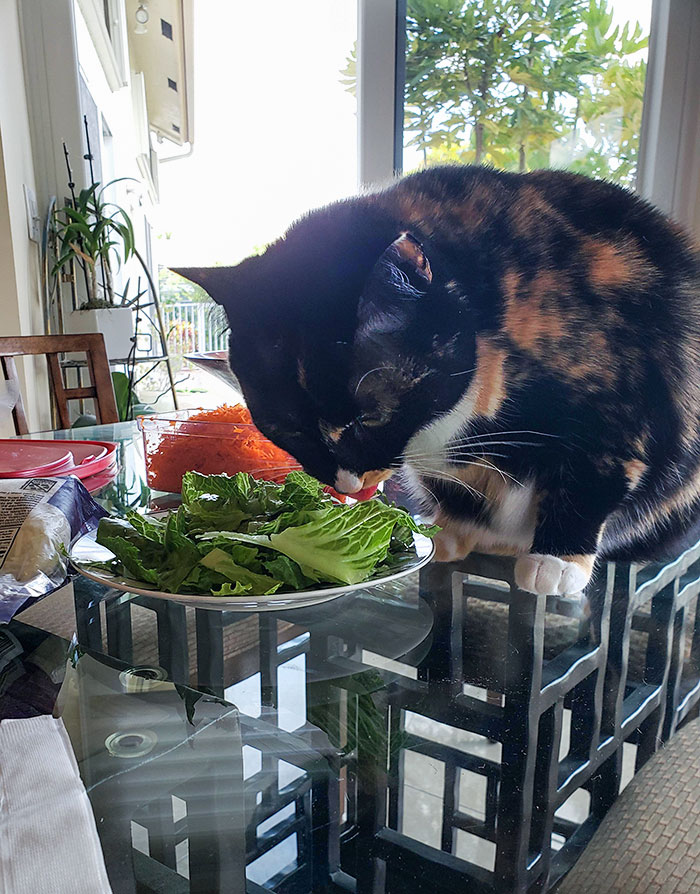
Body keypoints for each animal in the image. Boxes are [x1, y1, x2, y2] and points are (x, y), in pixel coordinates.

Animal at [175, 164, 700, 600]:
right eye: (288, 430)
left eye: (372, 416)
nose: (348, 484)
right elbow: (455, 489)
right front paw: (444, 533)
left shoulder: (612, 407)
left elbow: (592, 475)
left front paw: (557, 560)